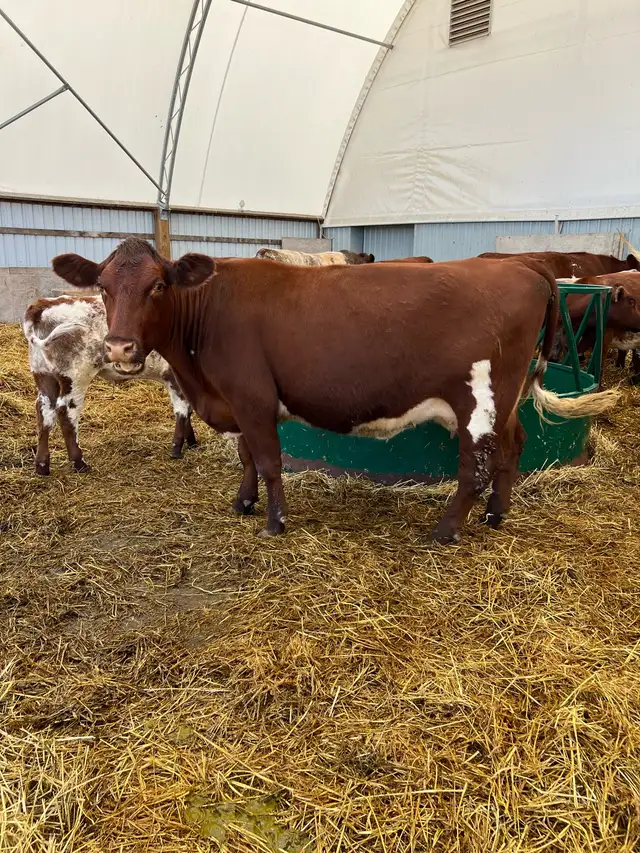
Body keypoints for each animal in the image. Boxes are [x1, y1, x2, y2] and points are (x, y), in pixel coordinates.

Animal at [23, 295, 197, 475]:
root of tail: (43, 304)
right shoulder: (174, 377)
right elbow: (182, 411)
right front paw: (177, 448)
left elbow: (188, 410)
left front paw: (191, 441)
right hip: (75, 377)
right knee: (65, 413)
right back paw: (79, 463)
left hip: (44, 375)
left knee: (44, 412)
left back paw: (42, 466)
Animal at [52, 239, 619, 544]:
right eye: (103, 286)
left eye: (158, 286)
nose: (120, 347)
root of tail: (521, 264)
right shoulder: (234, 401)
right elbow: (247, 458)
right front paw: (243, 502)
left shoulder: (253, 397)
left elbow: (270, 461)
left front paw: (274, 522)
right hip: (505, 400)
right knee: (512, 448)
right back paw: (497, 516)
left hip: (480, 398)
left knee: (474, 467)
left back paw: (445, 530)